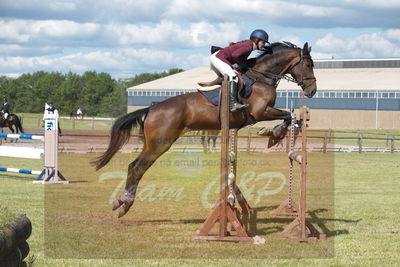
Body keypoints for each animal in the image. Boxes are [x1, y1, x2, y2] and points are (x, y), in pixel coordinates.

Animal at [93, 42, 316, 218]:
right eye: (308, 64)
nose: (312, 91)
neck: (261, 78)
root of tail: (152, 108)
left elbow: (291, 117)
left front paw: (275, 134)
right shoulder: (260, 112)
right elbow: (287, 116)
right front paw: (274, 135)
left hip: (153, 143)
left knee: (133, 166)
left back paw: (120, 202)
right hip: (160, 143)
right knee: (137, 167)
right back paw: (125, 204)